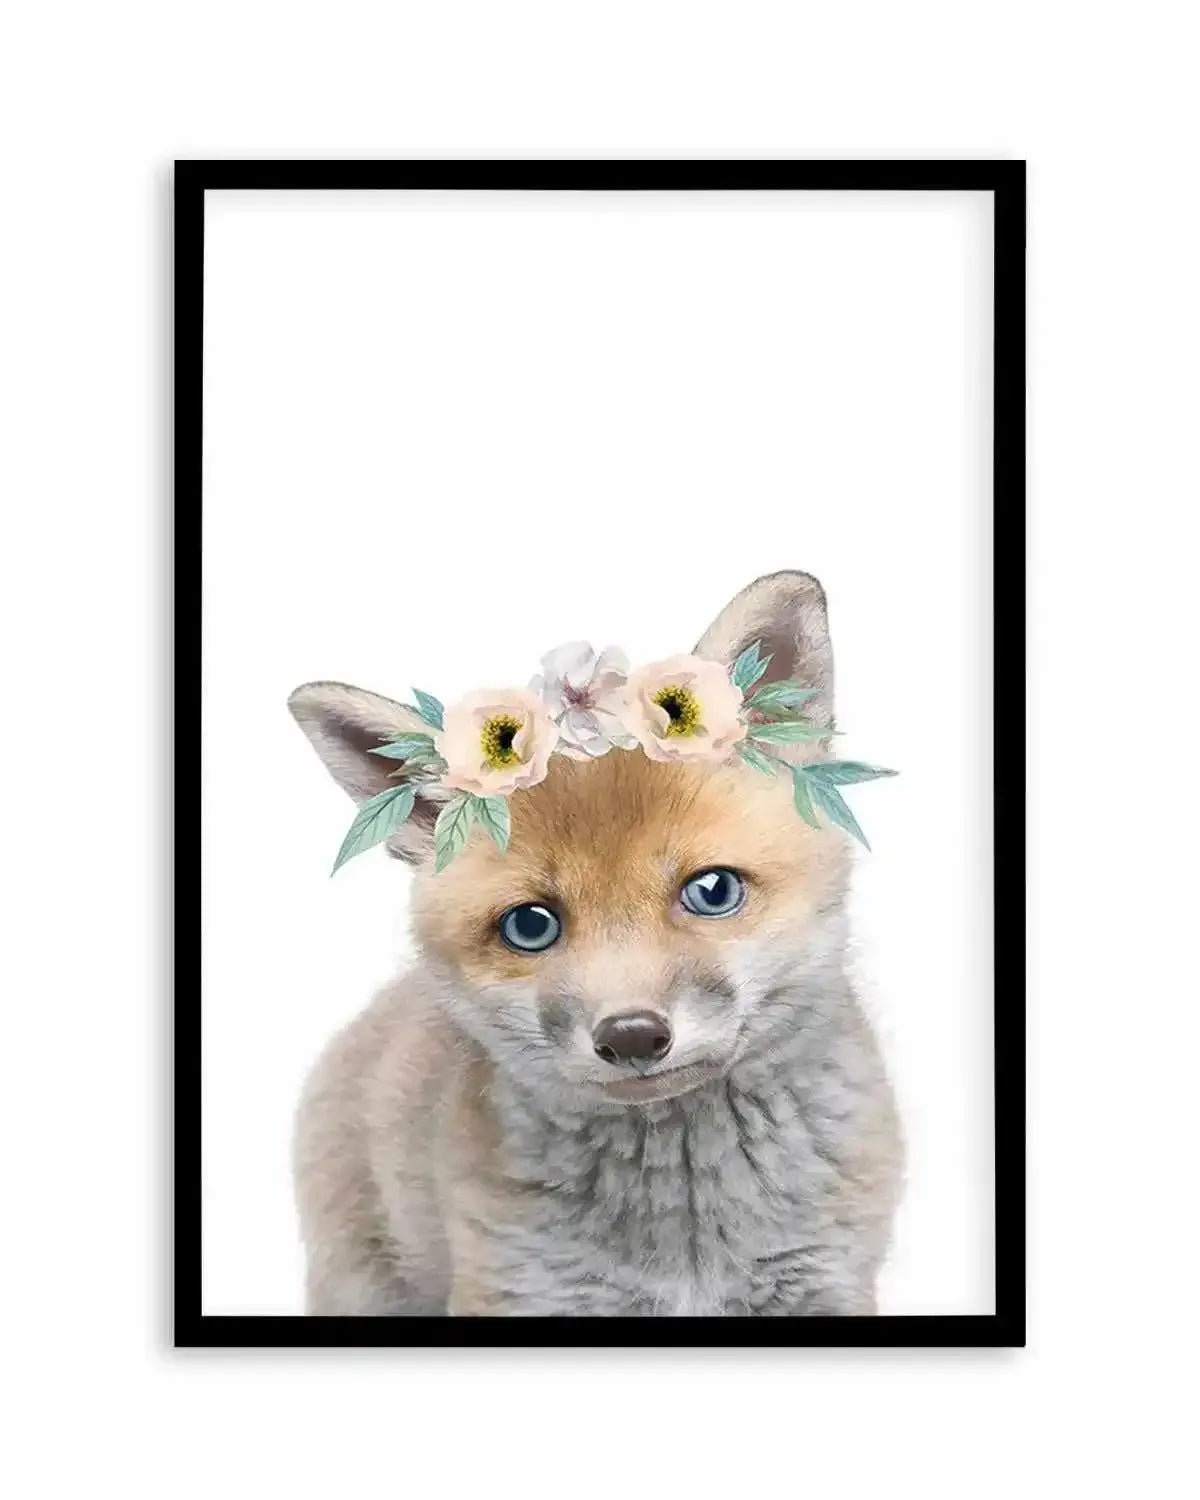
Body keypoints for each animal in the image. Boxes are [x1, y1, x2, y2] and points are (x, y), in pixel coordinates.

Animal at [287, 570, 903, 1316]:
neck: (686, 1234)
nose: (632, 1036)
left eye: (713, 891)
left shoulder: (824, 1282)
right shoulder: (522, 1290)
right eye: (530, 925)